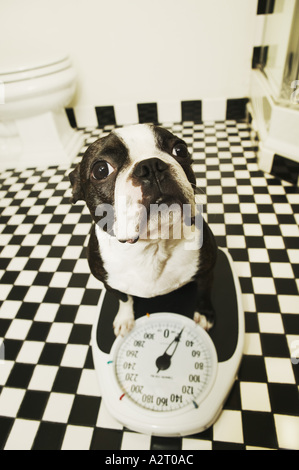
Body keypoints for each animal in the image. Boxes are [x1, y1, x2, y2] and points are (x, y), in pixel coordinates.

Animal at [69, 125, 217, 336]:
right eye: (101, 170)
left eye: (180, 150)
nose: (151, 165)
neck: (153, 245)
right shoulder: (110, 283)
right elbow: (124, 299)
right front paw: (125, 319)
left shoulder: (207, 270)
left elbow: (204, 292)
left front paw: (204, 314)